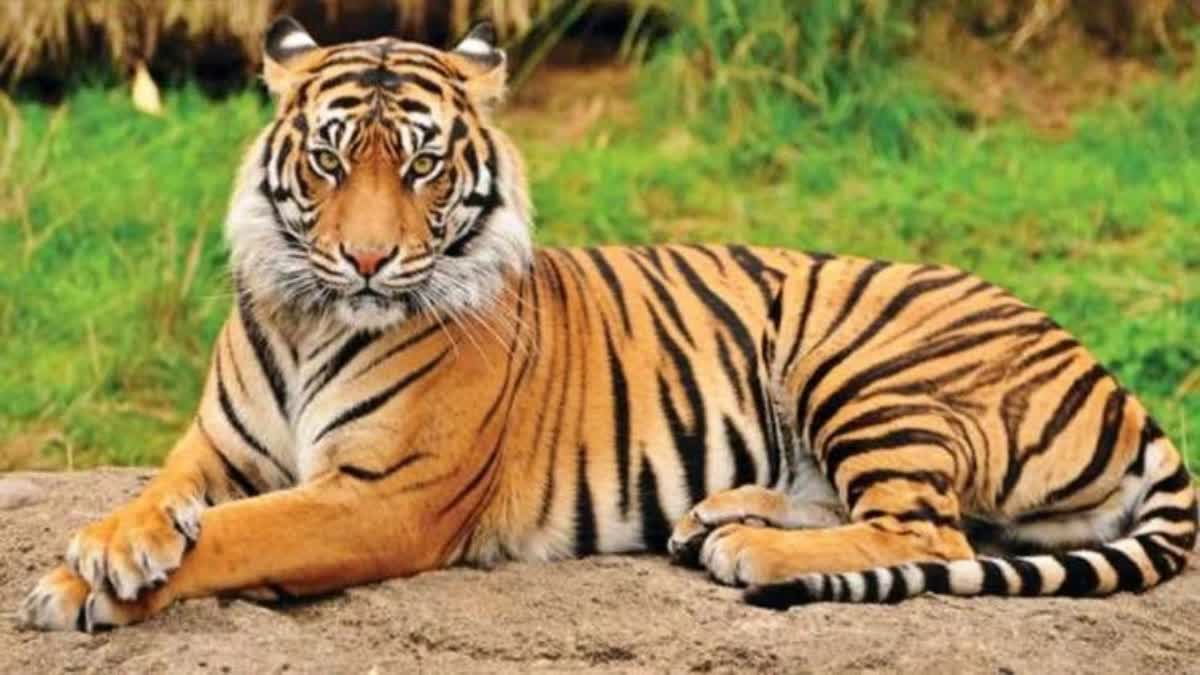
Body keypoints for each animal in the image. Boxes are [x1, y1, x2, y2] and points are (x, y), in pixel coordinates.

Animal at [19, 17, 1196, 631]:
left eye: (422, 165)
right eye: (327, 160)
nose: (367, 259)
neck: (314, 318)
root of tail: (1114, 382)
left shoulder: (383, 496)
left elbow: (243, 532)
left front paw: (80, 587)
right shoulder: (218, 446)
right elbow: (165, 496)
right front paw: (110, 545)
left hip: (864, 359)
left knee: (931, 531)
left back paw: (752, 552)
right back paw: (720, 516)